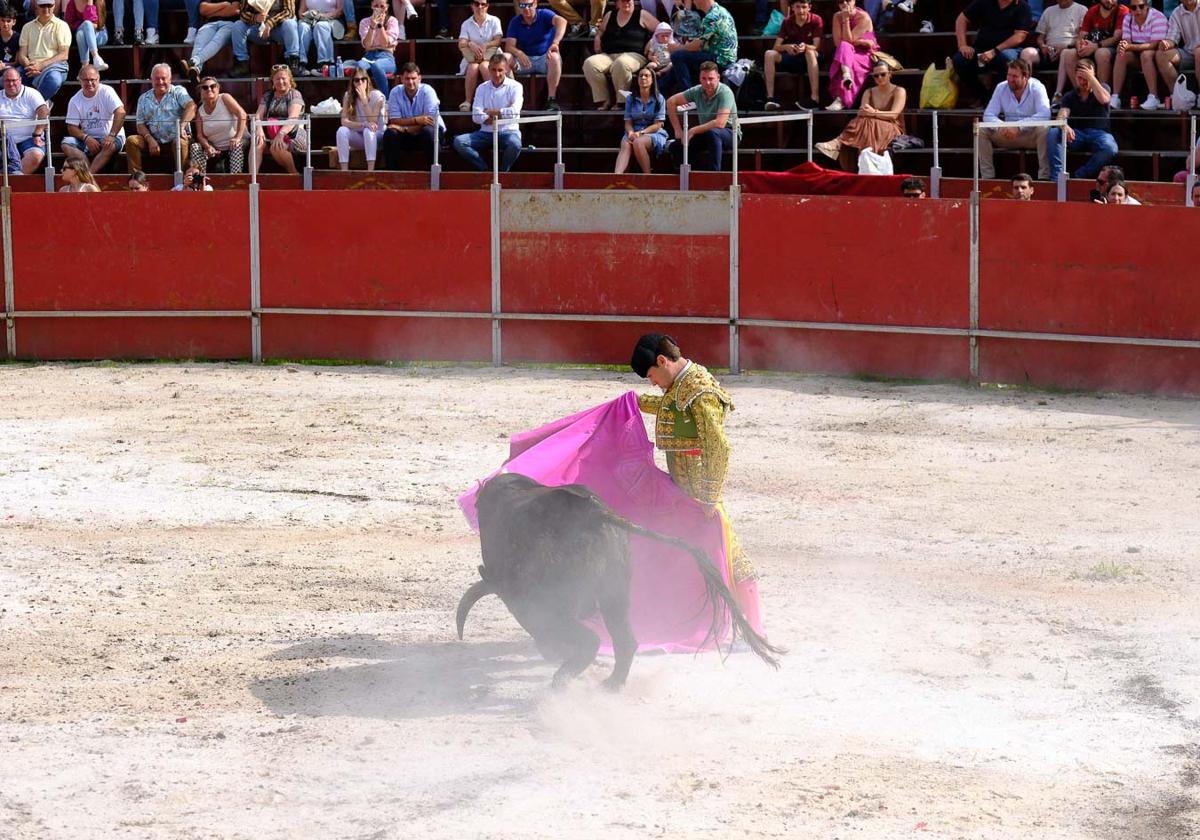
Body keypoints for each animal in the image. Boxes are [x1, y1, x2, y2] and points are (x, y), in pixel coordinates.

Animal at [453, 475, 782, 686]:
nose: (547, 651)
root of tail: (595, 513)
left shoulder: (529, 604)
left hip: (558, 601)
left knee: (591, 639)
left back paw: (562, 682)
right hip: (616, 589)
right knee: (625, 640)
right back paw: (610, 683)